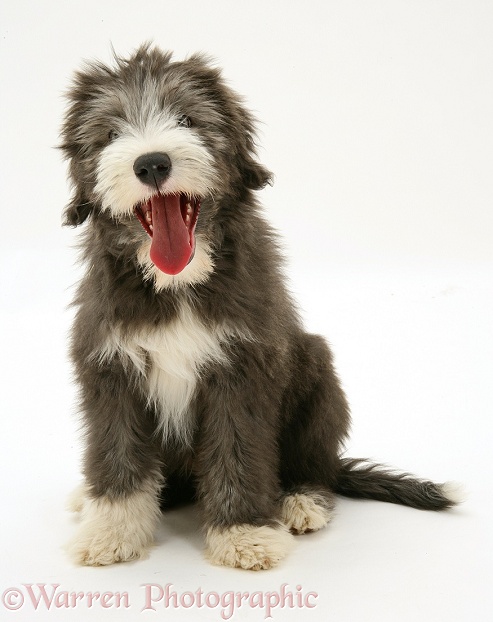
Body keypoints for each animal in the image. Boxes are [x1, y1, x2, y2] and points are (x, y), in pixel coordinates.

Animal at [59, 42, 460, 572]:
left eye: (187, 118)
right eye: (110, 133)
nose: (151, 164)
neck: (178, 286)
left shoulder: (243, 368)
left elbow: (239, 453)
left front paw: (244, 534)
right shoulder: (111, 366)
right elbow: (117, 452)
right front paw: (109, 530)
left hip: (318, 377)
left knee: (317, 466)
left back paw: (301, 501)